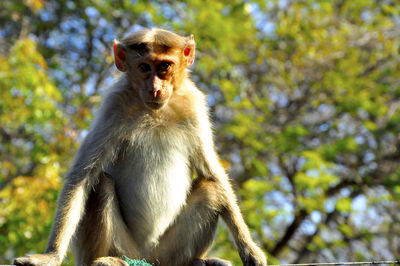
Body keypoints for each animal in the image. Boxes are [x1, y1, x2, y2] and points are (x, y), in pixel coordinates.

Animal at [14, 27, 268, 266]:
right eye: (144, 67)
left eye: (164, 66)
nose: (155, 88)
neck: (156, 110)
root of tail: (147, 257)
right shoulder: (114, 104)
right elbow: (82, 177)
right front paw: (51, 255)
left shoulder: (194, 105)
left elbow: (213, 174)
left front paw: (249, 249)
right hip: (125, 247)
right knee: (101, 184)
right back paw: (109, 259)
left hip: (168, 251)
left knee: (211, 190)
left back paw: (198, 261)